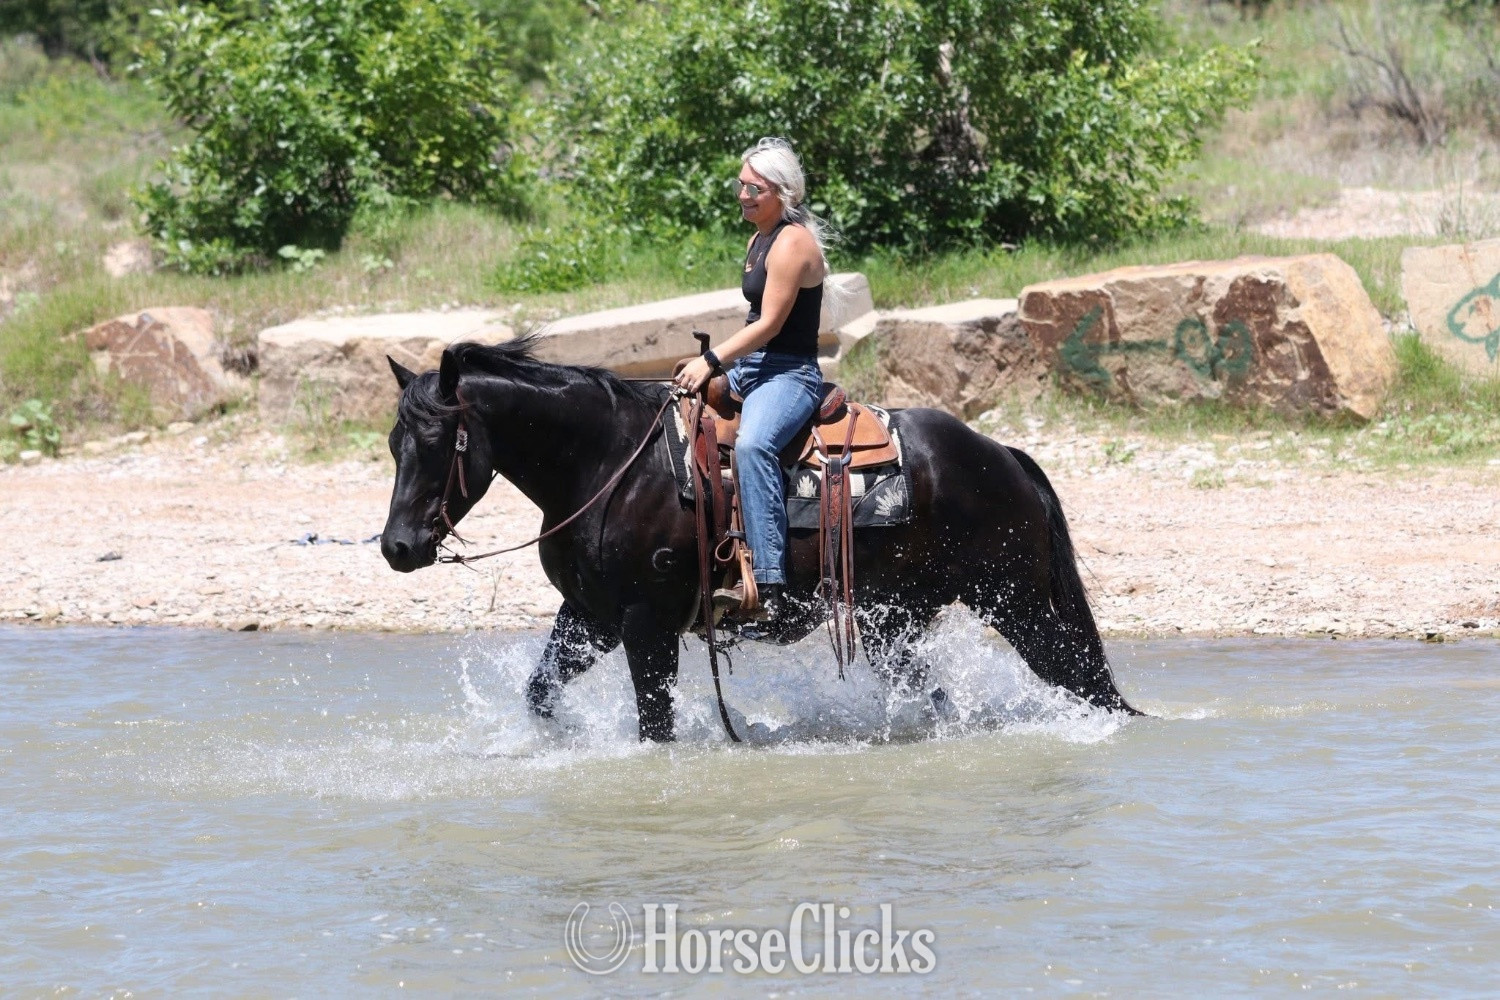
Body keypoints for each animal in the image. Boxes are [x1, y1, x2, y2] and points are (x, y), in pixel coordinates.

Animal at [380, 338, 1141, 742]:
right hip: (894, 621)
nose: (397, 547)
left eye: (438, 441)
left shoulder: (644, 622)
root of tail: (1001, 455)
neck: (608, 461)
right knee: (940, 696)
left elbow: (655, 723)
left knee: (1081, 675)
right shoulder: (590, 616)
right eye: (393, 444)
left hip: (1017, 602)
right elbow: (541, 693)